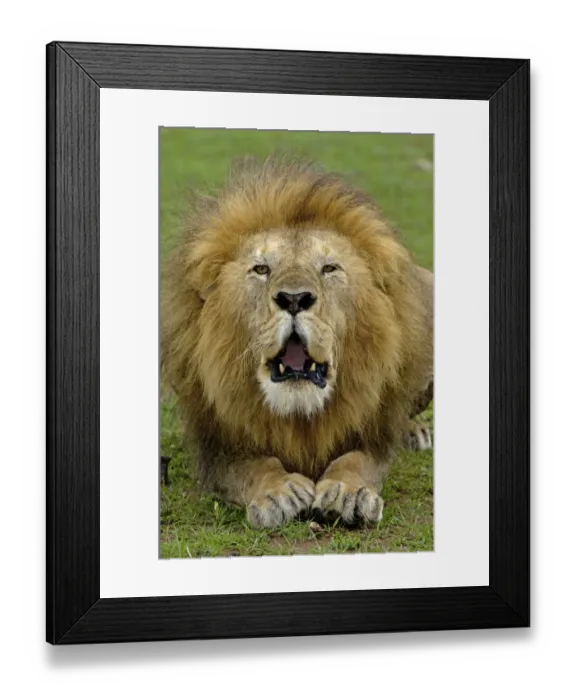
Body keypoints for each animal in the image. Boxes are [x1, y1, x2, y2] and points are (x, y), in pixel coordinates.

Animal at [161, 155, 433, 528]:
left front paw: (348, 494)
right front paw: (279, 492)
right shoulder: (219, 446)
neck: (300, 414)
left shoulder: (372, 436)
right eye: (261, 269)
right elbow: (255, 465)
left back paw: (412, 433)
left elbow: (356, 460)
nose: (293, 299)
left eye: (329, 268)